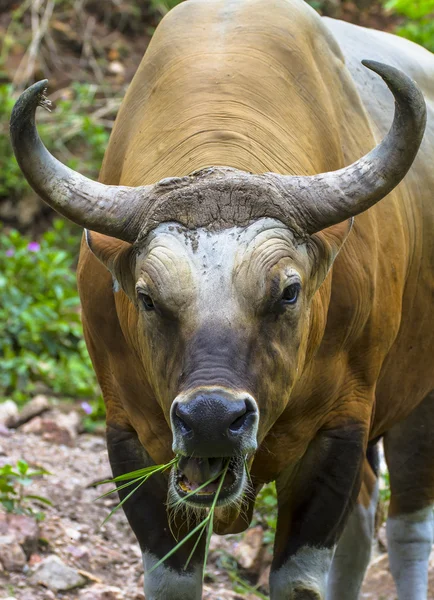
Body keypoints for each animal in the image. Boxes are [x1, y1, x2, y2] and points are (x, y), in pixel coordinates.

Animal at [9, 0, 434, 596]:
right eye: (146, 297)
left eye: (289, 291)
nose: (211, 418)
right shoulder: (130, 435)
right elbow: (173, 577)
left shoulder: (341, 428)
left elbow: (299, 580)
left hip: (419, 400)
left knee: (407, 527)